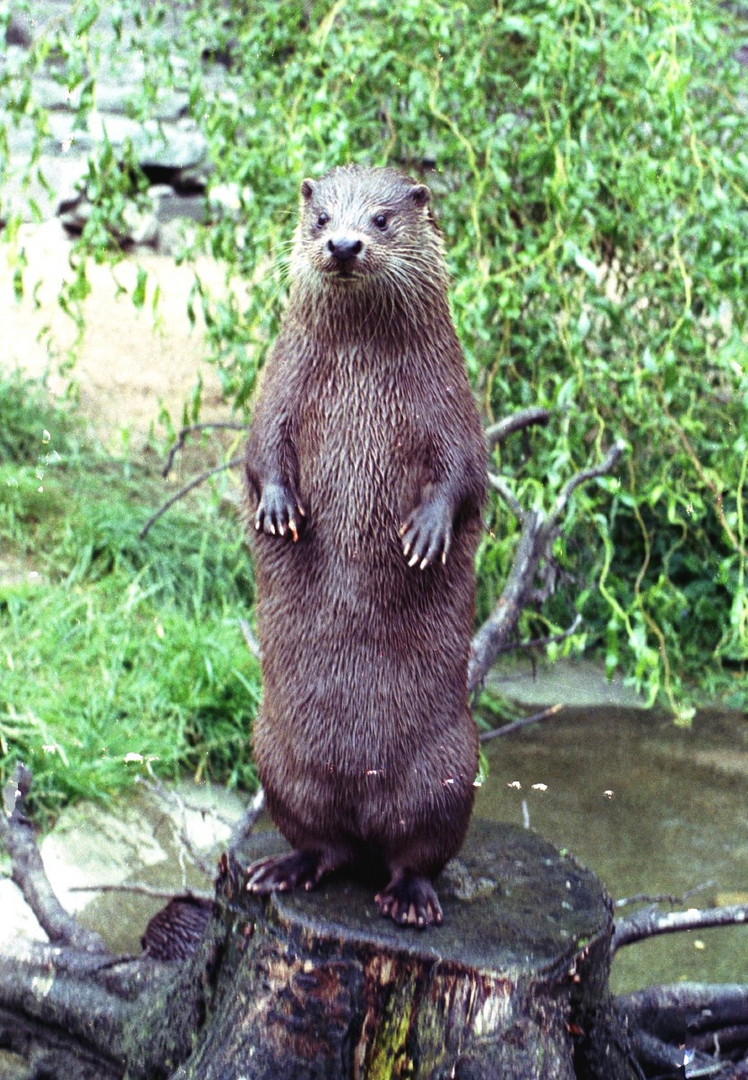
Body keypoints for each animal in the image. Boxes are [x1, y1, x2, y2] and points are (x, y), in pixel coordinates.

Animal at [245, 162, 483, 928]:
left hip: (449, 772)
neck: (357, 371)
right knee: (327, 846)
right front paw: (279, 509)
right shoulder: (277, 388)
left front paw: (428, 533)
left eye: (381, 219)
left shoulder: (454, 406)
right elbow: (261, 454)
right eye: (322, 218)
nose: (344, 244)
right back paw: (285, 869)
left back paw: (409, 897)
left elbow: (462, 475)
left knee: (416, 852)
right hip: (275, 758)